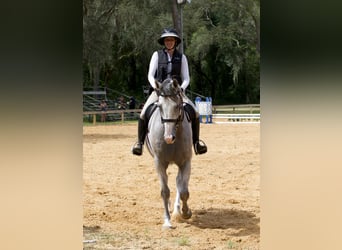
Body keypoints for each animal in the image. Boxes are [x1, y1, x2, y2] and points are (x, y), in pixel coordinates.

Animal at [144, 78, 192, 229]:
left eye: (177, 106)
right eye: (159, 107)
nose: (169, 138)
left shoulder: (186, 162)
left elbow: (184, 192)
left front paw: (186, 212)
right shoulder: (159, 163)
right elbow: (164, 192)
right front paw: (167, 220)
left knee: (179, 183)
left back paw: (177, 210)